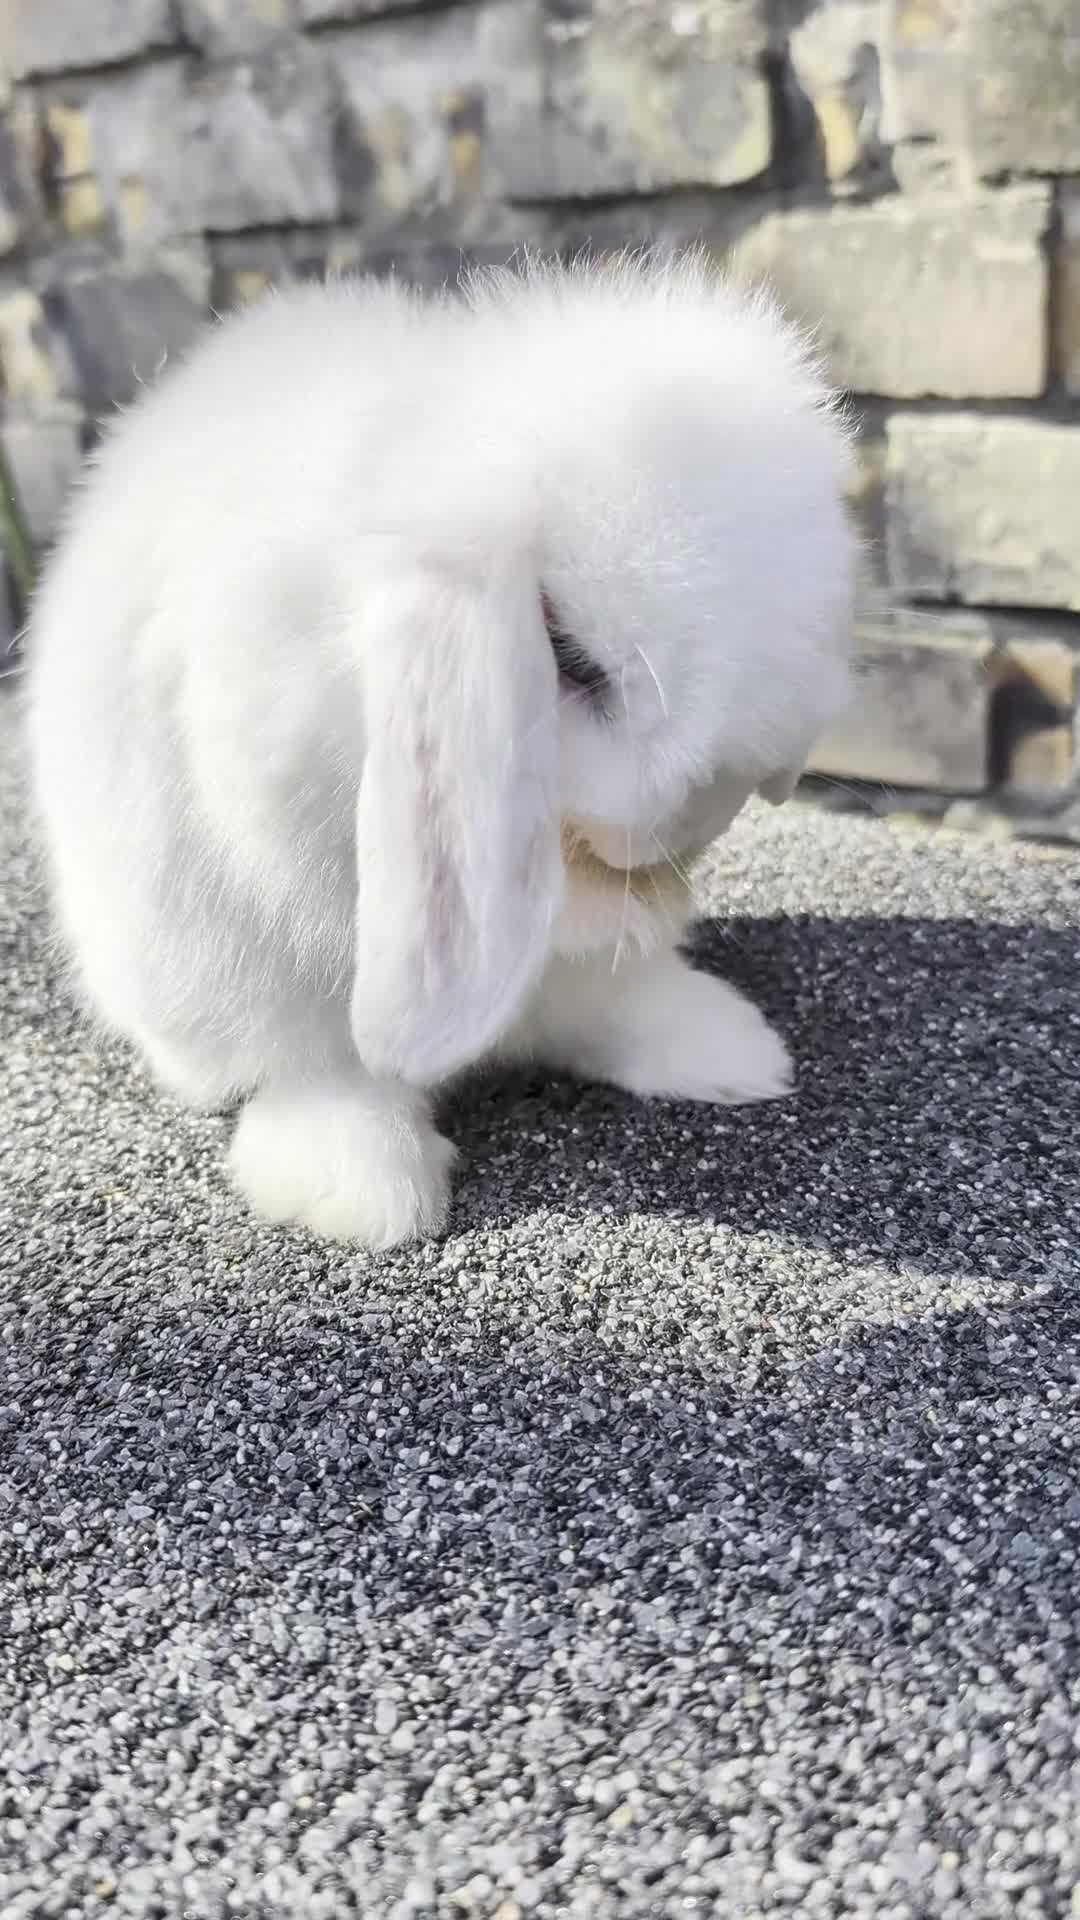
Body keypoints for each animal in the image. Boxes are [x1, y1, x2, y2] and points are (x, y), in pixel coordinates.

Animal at [24, 250, 857, 1249]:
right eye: (572, 659)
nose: (700, 821)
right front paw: (372, 1201)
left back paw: (723, 1046)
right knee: (304, 1061)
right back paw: (352, 1176)